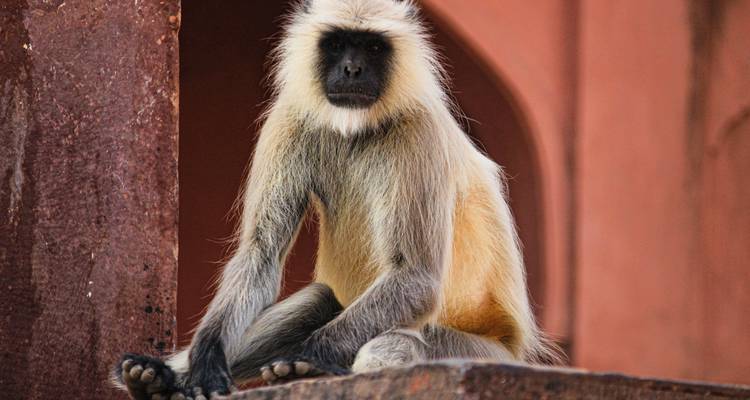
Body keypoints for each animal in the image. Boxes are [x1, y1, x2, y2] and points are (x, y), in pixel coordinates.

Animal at [113, 0, 558, 399]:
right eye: (338, 43)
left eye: (373, 47)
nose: (352, 69)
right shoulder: (288, 118)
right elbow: (261, 252)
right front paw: (204, 360)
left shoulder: (420, 132)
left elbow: (415, 276)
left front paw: (305, 359)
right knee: (318, 298)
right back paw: (154, 379)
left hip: (481, 352)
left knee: (399, 340)